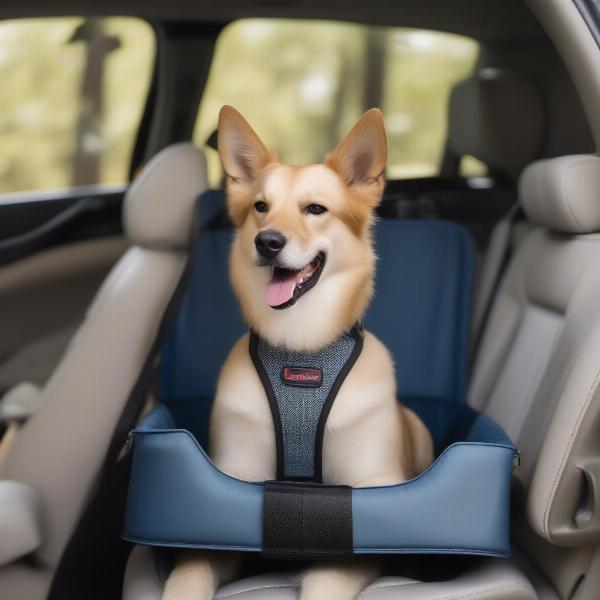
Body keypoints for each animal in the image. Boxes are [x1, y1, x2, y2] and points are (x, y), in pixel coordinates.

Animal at [162, 105, 434, 596]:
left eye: (315, 209)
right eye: (260, 207)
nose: (267, 242)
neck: (300, 346)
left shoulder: (371, 493)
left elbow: (324, 579)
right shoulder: (229, 491)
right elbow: (190, 570)